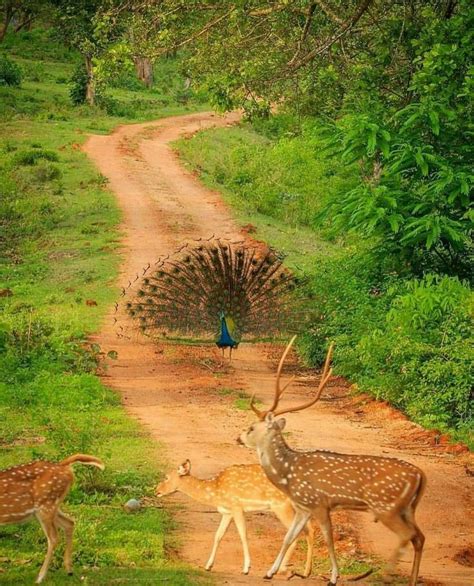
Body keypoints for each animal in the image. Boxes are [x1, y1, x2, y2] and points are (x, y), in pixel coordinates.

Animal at [0, 452, 104, 580]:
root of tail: (63, 466)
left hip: (46, 505)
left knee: (54, 538)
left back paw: (40, 577)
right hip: (50, 508)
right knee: (69, 522)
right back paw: (69, 569)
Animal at [156, 456, 314, 576]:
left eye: (166, 477)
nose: (156, 490)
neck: (216, 491)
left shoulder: (237, 506)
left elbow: (243, 535)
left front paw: (246, 568)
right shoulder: (227, 512)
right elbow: (218, 535)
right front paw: (208, 565)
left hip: (280, 505)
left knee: (297, 532)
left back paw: (281, 569)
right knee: (308, 529)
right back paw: (305, 571)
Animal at [239, 338, 428, 584]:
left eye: (251, 428)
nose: (238, 437)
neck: (288, 475)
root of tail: (420, 475)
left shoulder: (320, 503)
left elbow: (328, 539)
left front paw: (334, 577)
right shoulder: (303, 507)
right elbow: (289, 536)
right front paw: (270, 572)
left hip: (386, 506)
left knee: (408, 535)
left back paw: (387, 574)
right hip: (406, 508)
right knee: (419, 537)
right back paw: (411, 580)